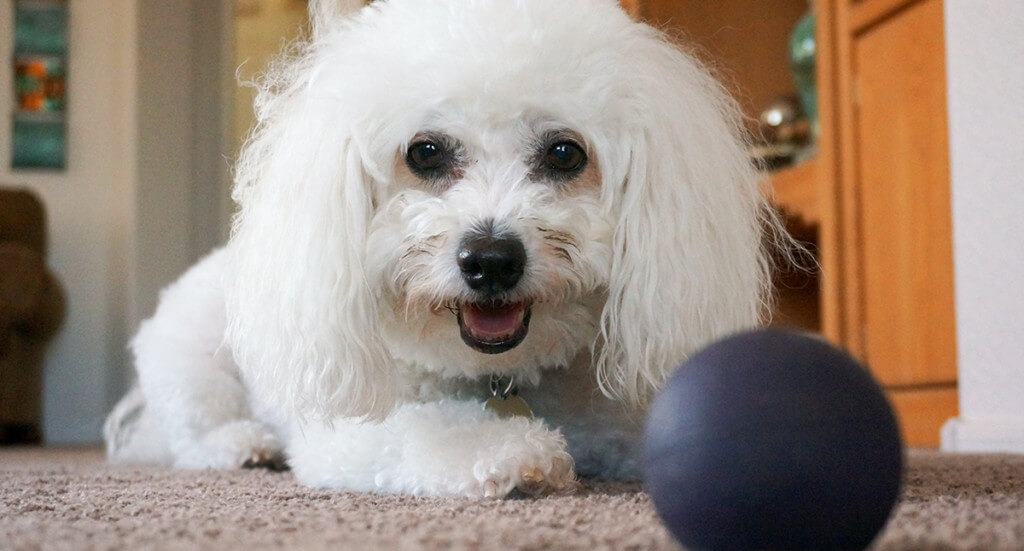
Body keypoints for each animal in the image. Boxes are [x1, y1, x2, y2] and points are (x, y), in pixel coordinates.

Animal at [103, 0, 778, 497]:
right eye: (425, 152)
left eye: (565, 153)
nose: (491, 261)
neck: (501, 381)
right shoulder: (346, 438)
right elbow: (423, 431)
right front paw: (510, 451)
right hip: (192, 361)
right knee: (194, 434)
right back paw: (243, 447)